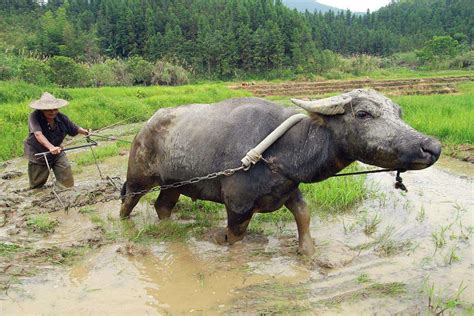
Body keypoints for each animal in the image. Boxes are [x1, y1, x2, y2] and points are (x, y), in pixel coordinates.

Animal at [121, 88, 440, 254]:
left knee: (162, 206)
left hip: (173, 185)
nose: (432, 147)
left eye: (398, 112)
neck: (280, 150)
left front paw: (308, 252)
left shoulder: (289, 189)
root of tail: (146, 126)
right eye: (363, 114)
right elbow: (235, 236)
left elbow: (304, 215)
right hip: (138, 177)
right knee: (127, 202)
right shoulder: (237, 206)